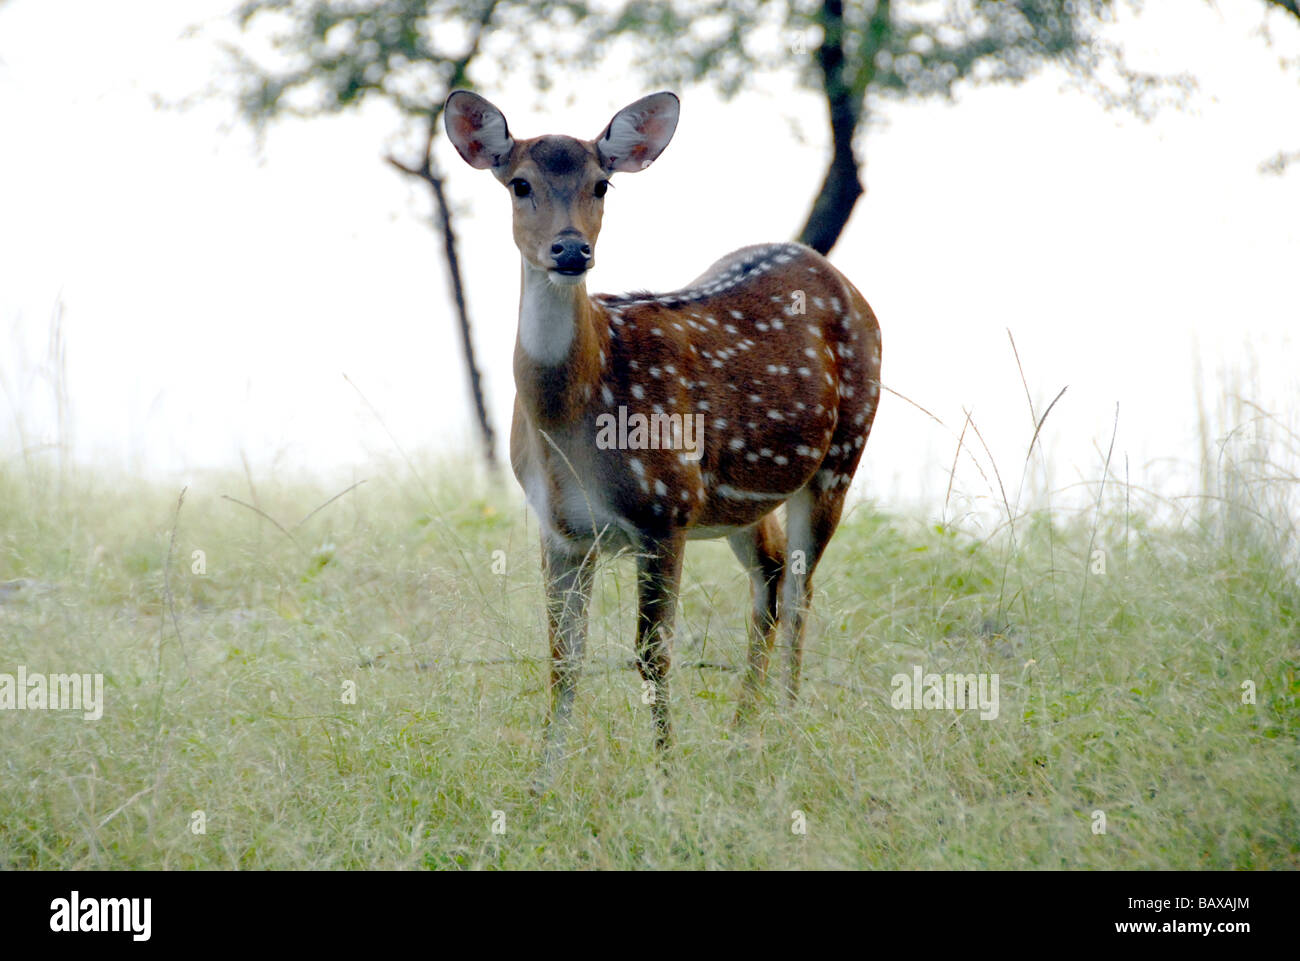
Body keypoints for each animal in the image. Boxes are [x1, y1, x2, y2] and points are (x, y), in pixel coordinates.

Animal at [447, 88, 883, 790]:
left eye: (602, 184)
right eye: (520, 184)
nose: (571, 251)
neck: (572, 421)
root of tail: (835, 275)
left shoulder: (666, 509)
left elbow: (652, 655)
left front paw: (665, 777)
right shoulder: (560, 529)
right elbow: (562, 657)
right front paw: (542, 783)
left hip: (841, 456)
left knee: (799, 591)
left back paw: (787, 733)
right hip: (741, 501)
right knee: (770, 579)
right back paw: (741, 738)